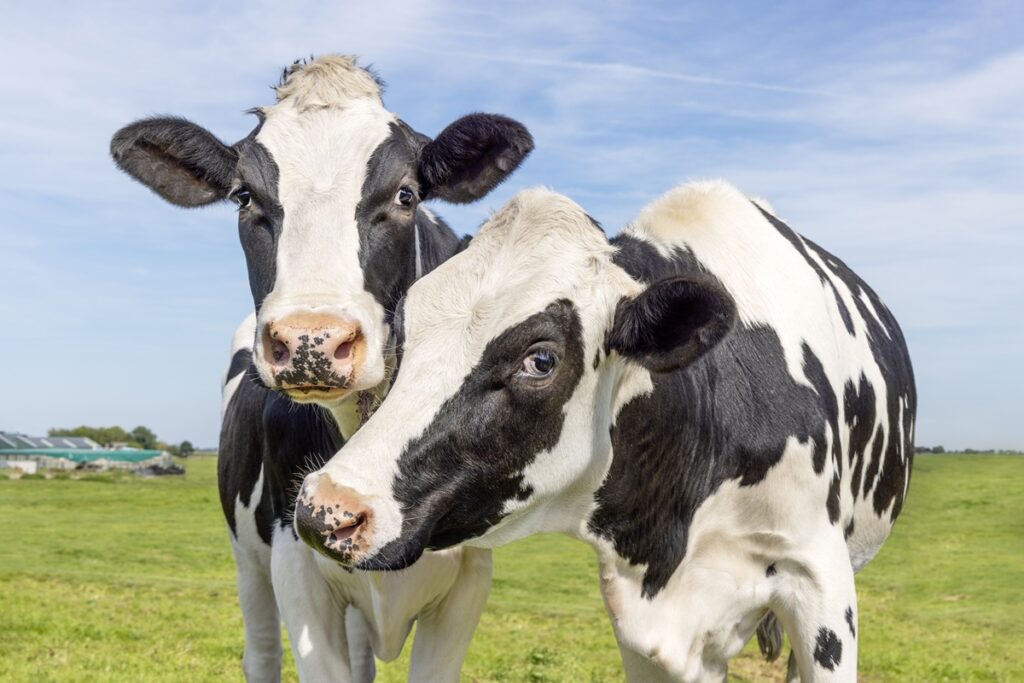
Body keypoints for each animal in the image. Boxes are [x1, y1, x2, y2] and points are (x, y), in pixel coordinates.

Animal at [110, 55, 533, 682]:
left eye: (406, 194)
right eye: (243, 196)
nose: (312, 339)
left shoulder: (469, 575)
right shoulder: (294, 560)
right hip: (247, 558)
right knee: (261, 651)